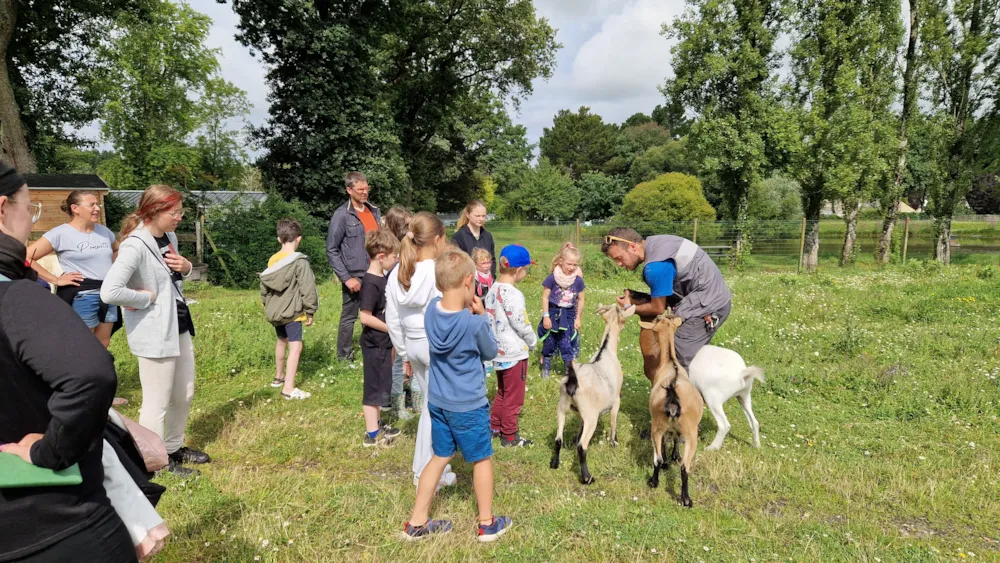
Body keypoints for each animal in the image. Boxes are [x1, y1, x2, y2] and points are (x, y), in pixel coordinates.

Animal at [548, 304, 632, 484]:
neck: (606, 350)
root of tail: (573, 381)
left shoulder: (580, 414)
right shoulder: (616, 401)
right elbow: (613, 422)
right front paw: (614, 442)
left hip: (562, 408)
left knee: (558, 439)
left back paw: (554, 463)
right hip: (591, 416)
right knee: (582, 446)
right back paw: (587, 477)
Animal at [640, 316, 704, 508]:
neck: (670, 363)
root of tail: (673, 394)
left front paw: (672, 457)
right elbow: (674, 439)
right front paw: (674, 456)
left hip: (659, 427)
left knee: (659, 459)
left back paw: (655, 482)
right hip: (689, 434)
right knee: (684, 466)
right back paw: (686, 499)